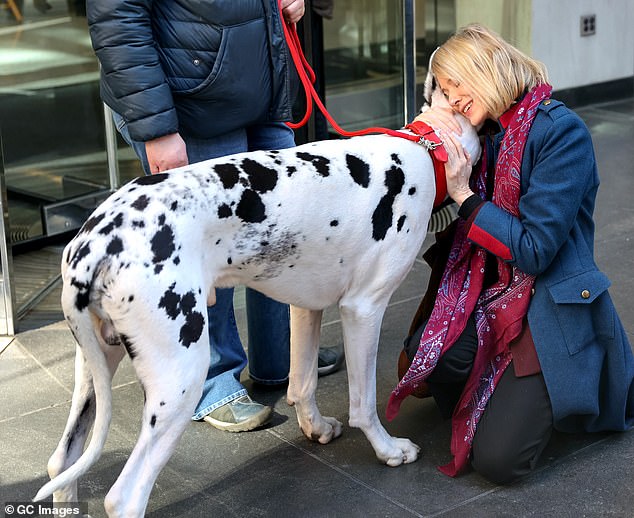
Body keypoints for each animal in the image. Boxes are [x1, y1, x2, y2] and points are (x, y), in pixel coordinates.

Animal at [34, 87, 476, 516]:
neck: (424, 150)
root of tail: (95, 242)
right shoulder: (363, 310)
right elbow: (363, 402)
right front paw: (387, 449)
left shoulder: (306, 307)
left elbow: (302, 383)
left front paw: (315, 427)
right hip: (179, 379)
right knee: (125, 497)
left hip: (95, 367)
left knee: (61, 462)